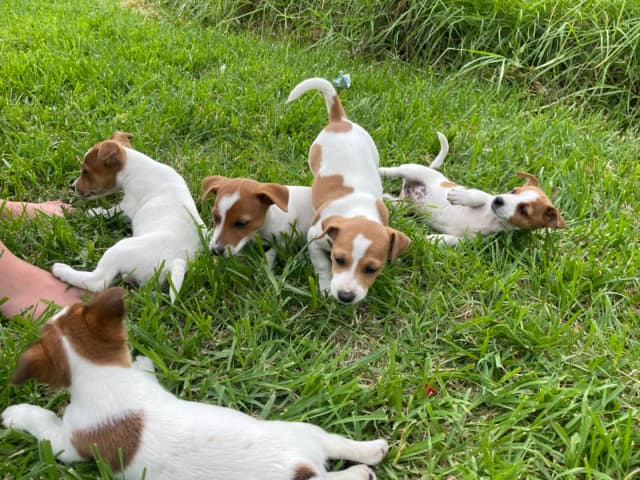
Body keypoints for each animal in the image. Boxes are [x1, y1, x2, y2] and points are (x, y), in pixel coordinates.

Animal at [2, 288, 388, 480]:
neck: (103, 375)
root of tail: (300, 465)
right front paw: (143, 362)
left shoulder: (66, 446)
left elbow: (43, 423)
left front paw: (15, 413)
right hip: (302, 430)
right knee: (337, 444)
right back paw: (372, 452)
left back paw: (362, 472)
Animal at [52, 131, 205, 302]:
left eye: (85, 171)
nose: (72, 186)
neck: (137, 168)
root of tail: (175, 262)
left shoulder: (126, 207)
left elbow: (107, 211)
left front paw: (86, 213)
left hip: (120, 249)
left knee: (98, 282)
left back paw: (61, 269)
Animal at [288, 78, 412, 304]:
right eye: (338, 259)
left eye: (372, 269)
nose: (346, 296)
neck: (358, 209)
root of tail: (340, 120)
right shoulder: (314, 239)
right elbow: (321, 265)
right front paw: (325, 287)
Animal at [378, 132, 568, 246]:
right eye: (513, 191)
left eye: (523, 210)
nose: (499, 200)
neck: (491, 218)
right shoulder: (486, 197)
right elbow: (479, 195)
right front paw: (461, 196)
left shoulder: (469, 241)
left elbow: (451, 241)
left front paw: (432, 239)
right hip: (411, 170)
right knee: (391, 171)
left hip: (404, 205)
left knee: (394, 202)